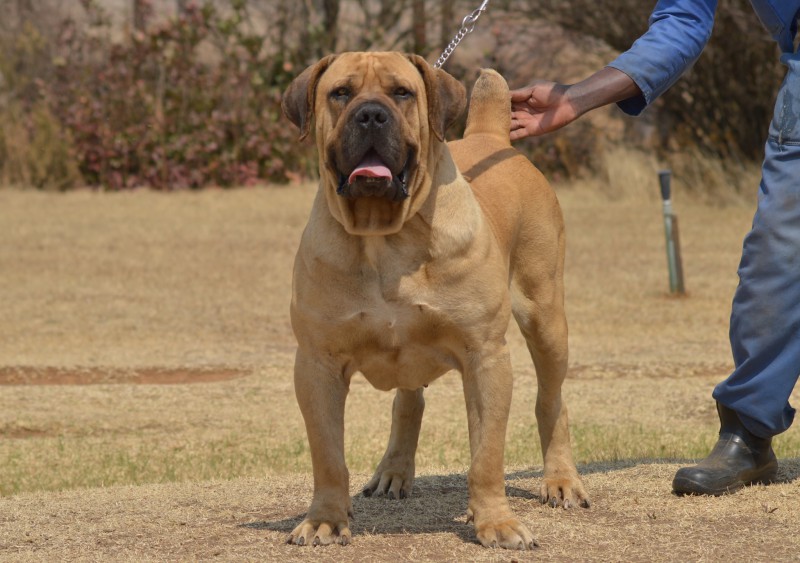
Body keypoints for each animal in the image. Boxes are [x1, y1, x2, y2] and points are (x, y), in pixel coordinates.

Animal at [280, 53, 588, 552]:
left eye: (402, 92)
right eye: (340, 93)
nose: (371, 114)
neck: (384, 236)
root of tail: (491, 136)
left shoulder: (485, 356)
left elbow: (487, 455)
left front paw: (496, 522)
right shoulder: (316, 363)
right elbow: (327, 455)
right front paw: (324, 520)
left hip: (545, 316)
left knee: (551, 399)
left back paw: (561, 480)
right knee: (409, 400)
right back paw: (393, 471)